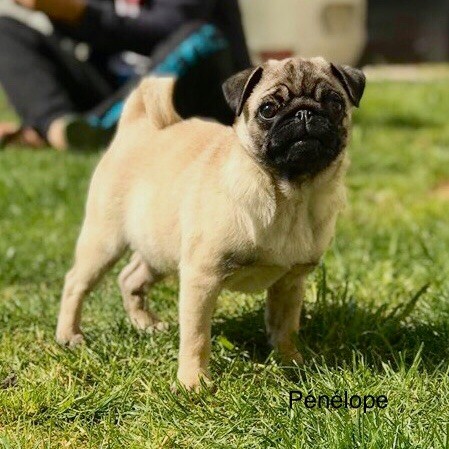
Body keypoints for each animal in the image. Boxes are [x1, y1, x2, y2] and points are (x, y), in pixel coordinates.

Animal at [56, 57, 365, 391]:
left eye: (334, 103)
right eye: (268, 109)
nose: (304, 112)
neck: (290, 197)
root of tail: (137, 126)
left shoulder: (290, 281)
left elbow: (285, 326)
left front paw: (290, 360)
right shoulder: (201, 277)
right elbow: (196, 337)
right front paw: (193, 382)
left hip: (159, 246)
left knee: (130, 278)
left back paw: (145, 325)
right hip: (105, 241)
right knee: (75, 283)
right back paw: (69, 336)